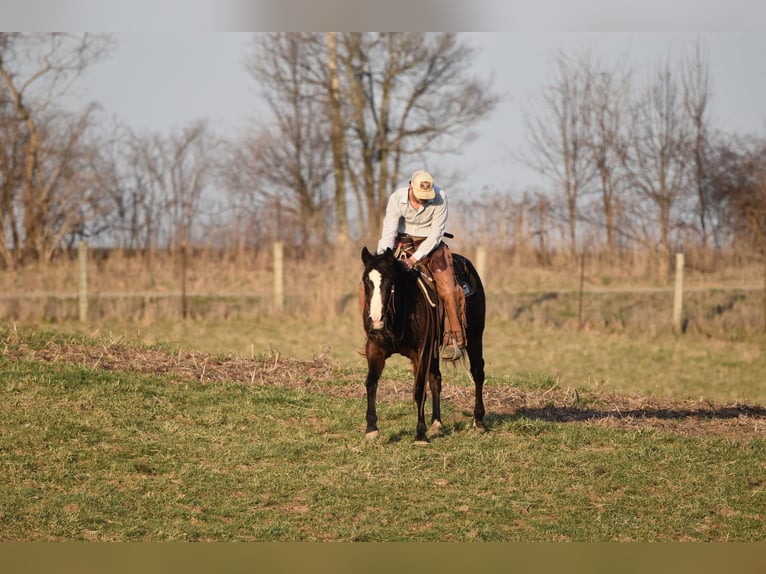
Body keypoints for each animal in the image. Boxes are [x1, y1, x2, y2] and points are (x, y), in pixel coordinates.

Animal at [360, 245, 486, 444]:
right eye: (366, 282)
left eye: (391, 283)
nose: (376, 321)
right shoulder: (375, 349)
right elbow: (371, 383)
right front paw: (371, 429)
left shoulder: (421, 352)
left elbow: (419, 389)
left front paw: (420, 434)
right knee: (436, 379)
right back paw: (436, 424)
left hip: (475, 336)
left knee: (477, 372)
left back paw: (479, 421)